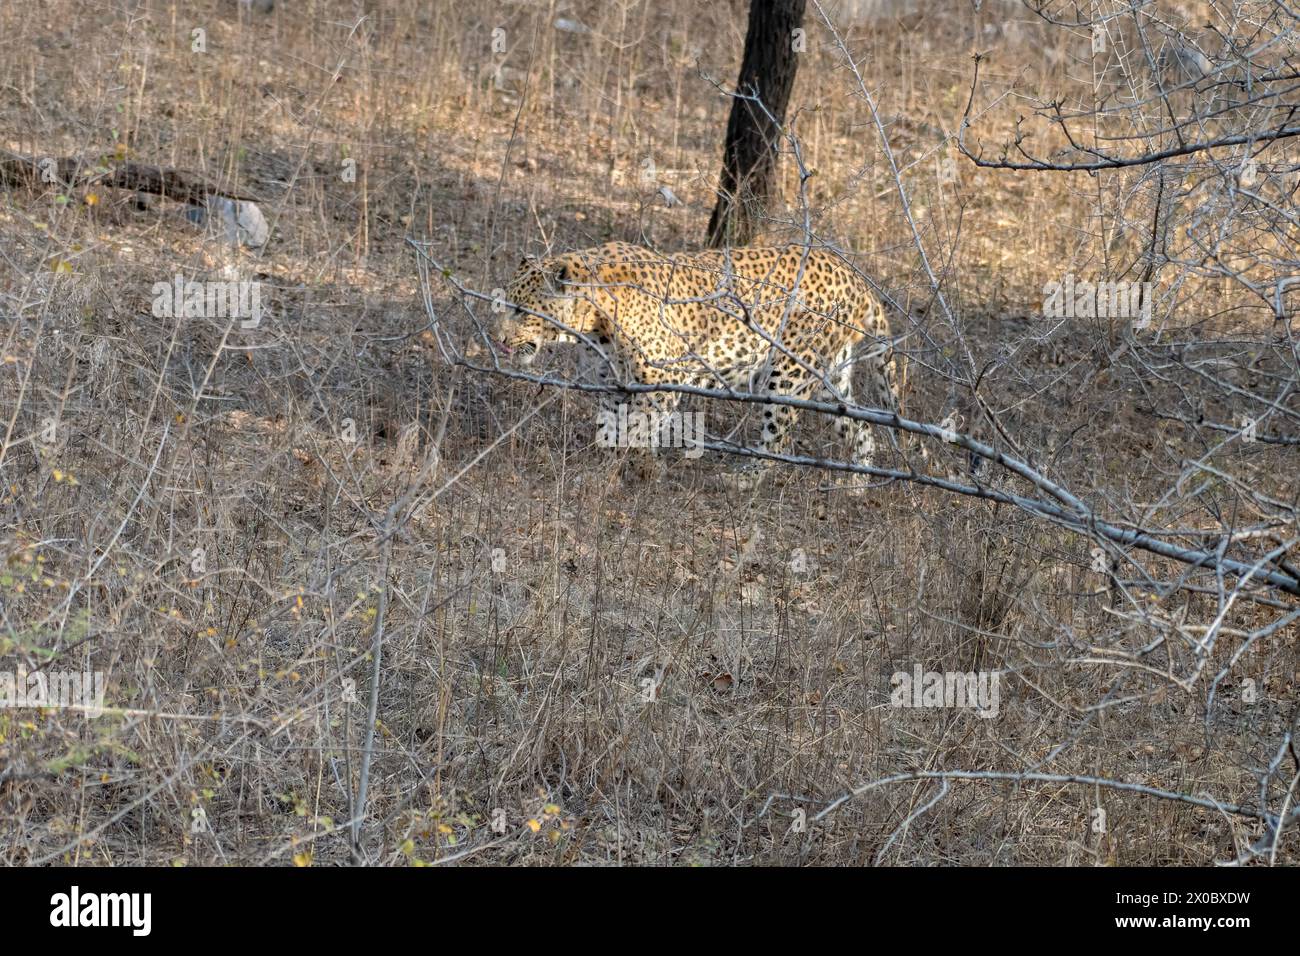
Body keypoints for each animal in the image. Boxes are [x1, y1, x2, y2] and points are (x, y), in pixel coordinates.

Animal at [491, 239, 920, 494]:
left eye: (521, 310)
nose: (499, 340)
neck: (592, 323)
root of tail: (854, 277)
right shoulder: (614, 384)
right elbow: (610, 431)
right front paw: (607, 470)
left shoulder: (662, 381)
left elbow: (635, 432)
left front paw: (636, 472)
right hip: (830, 376)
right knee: (862, 428)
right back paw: (857, 487)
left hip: (788, 374)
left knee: (777, 436)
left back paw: (742, 480)